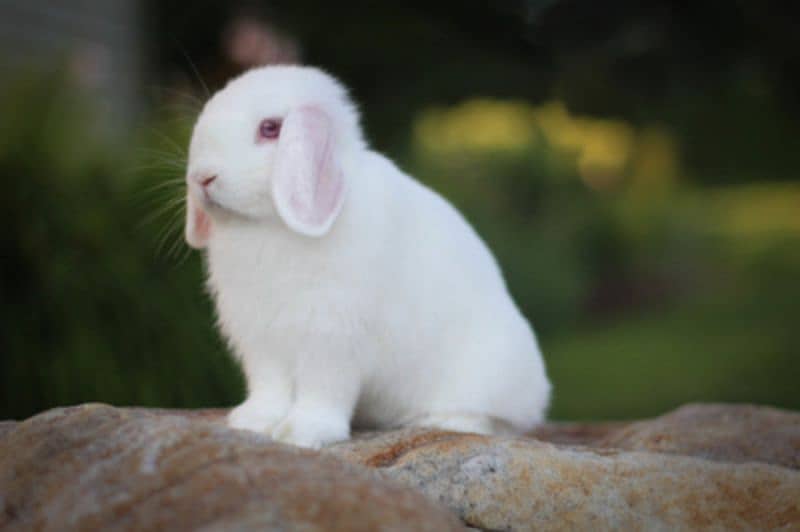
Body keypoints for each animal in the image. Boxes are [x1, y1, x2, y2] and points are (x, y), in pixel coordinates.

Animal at [186, 65, 552, 448]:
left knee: (488, 419)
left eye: (270, 128)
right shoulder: (261, 339)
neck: (268, 225)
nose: (202, 177)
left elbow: (323, 389)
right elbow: (269, 387)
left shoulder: (331, 335)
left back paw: (441, 421)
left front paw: (303, 433)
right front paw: (253, 422)